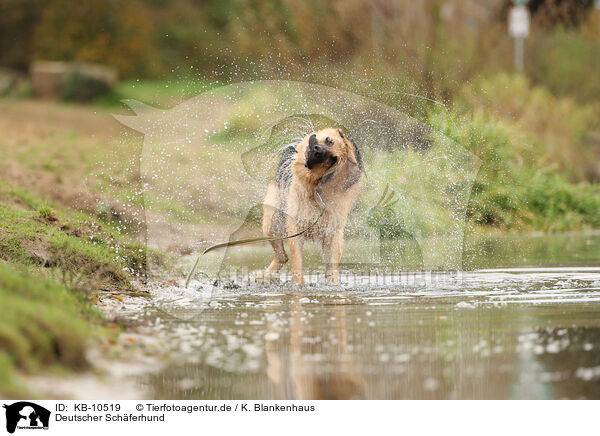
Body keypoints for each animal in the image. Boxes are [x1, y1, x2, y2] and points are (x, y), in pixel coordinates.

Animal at [262, 129, 364, 286]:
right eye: (329, 140)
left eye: (333, 159)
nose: (317, 150)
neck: (314, 187)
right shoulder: (295, 227)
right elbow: (297, 261)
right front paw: (298, 285)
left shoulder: (332, 232)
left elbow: (332, 267)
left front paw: (333, 285)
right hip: (271, 222)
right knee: (282, 256)